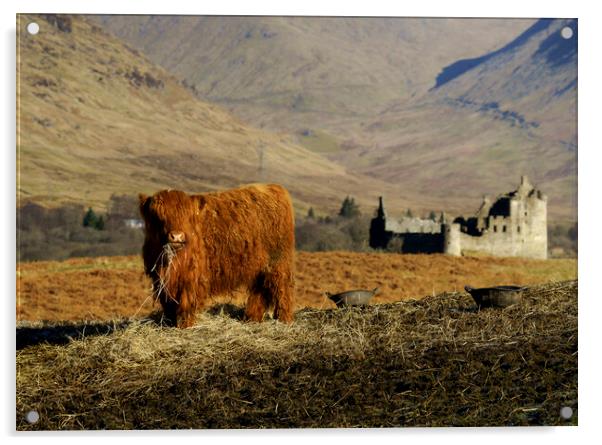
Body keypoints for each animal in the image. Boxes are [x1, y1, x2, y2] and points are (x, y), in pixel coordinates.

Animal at [137, 183, 296, 326]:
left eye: (186, 216)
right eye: (158, 217)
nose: (176, 236)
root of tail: (274, 188)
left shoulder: (192, 278)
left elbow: (186, 304)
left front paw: (185, 325)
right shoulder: (161, 279)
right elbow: (168, 304)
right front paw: (169, 323)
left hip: (278, 262)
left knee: (282, 289)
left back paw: (284, 320)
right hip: (260, 267)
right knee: (260, 291)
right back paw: (252, 318)